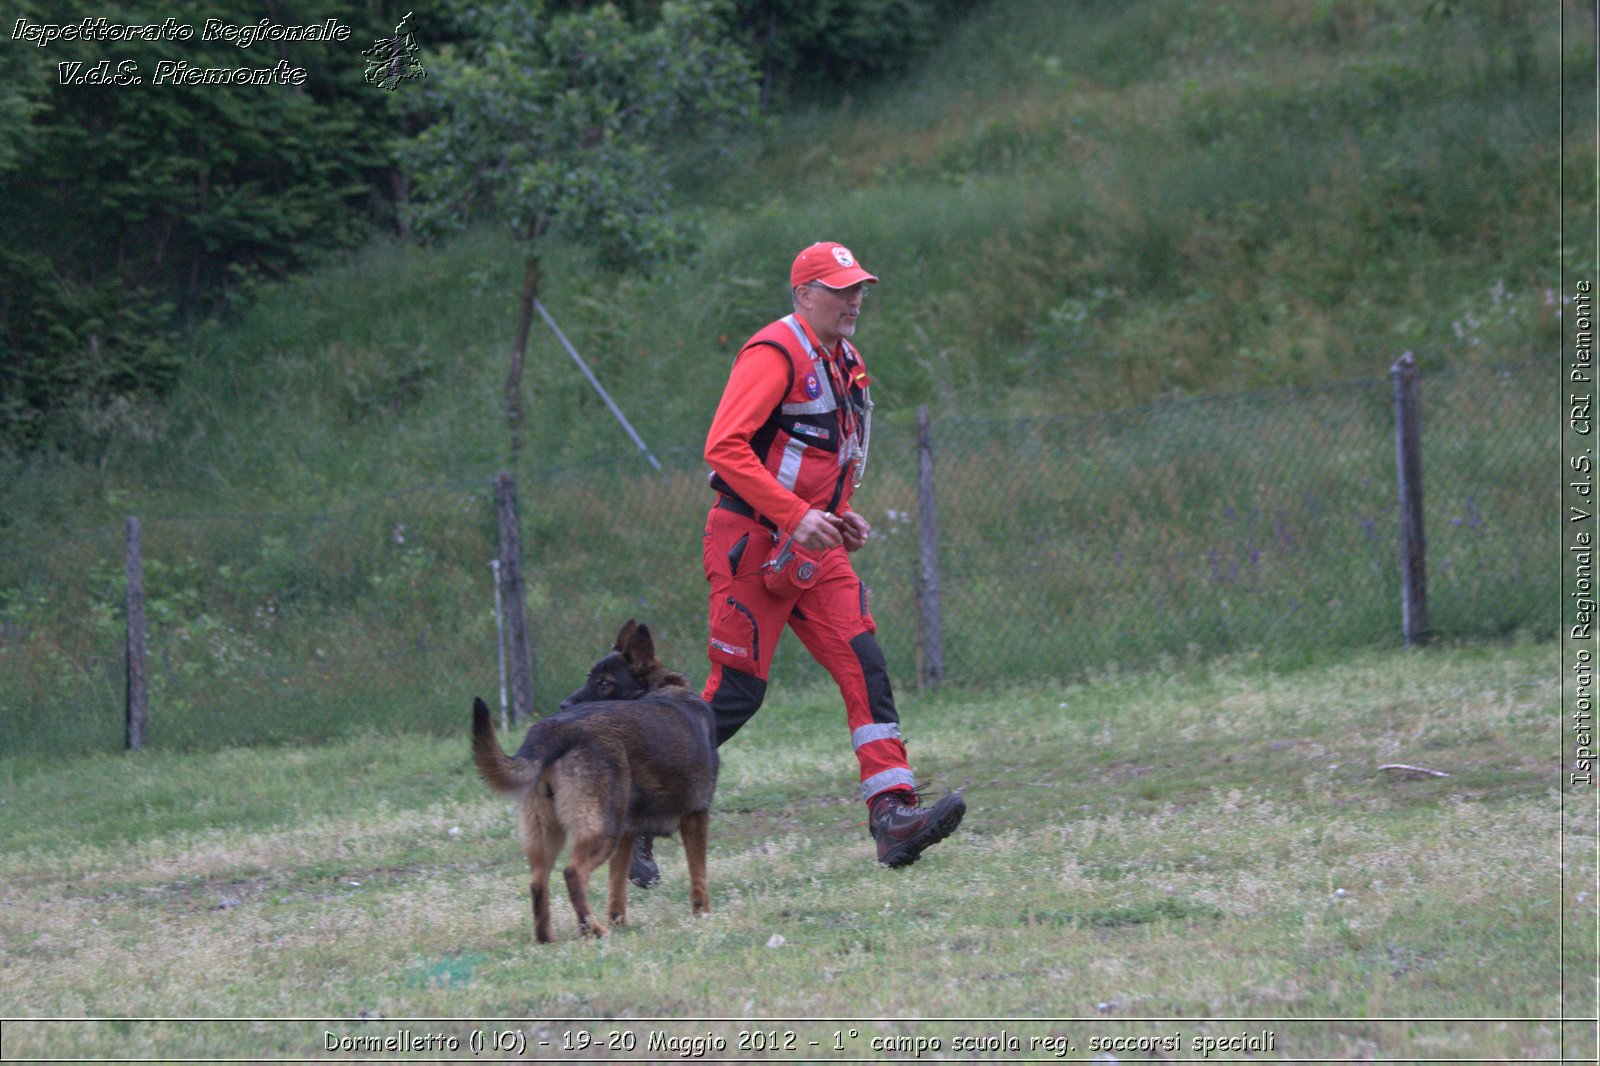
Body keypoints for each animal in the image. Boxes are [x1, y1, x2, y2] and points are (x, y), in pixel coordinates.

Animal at [467, 624, 720, 941]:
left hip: (548, 834)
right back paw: (593, 930)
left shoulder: (627, 834)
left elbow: (617, 886)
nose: (563, 704)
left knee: (538, 881)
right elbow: (699, 875)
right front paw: (703, 915)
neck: (661, 686)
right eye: (591, 679)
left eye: (604, 683)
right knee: (573, 873)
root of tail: (552, 729)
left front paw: (619, 922)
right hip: (601, 830)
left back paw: (548, 938)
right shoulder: (695, 817)